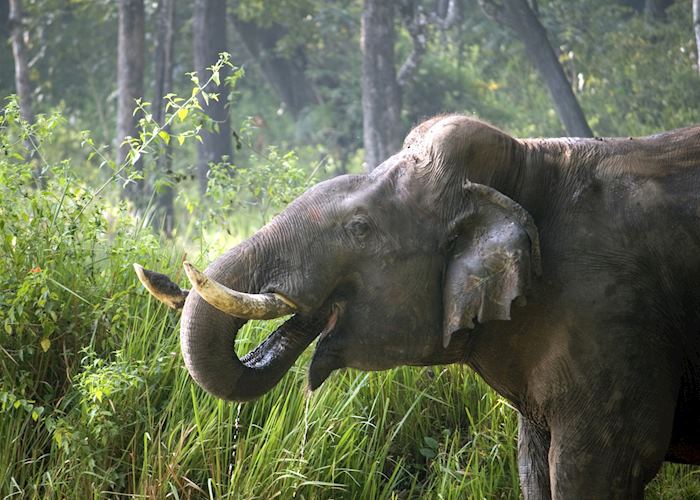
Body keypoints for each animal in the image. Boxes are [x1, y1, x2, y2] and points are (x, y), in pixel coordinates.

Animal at [135, 115, 700, 498]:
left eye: (359, 228)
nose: (163, 271)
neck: (529, 164)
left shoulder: (615, 318)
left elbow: (604, 465)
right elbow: (535, 468)